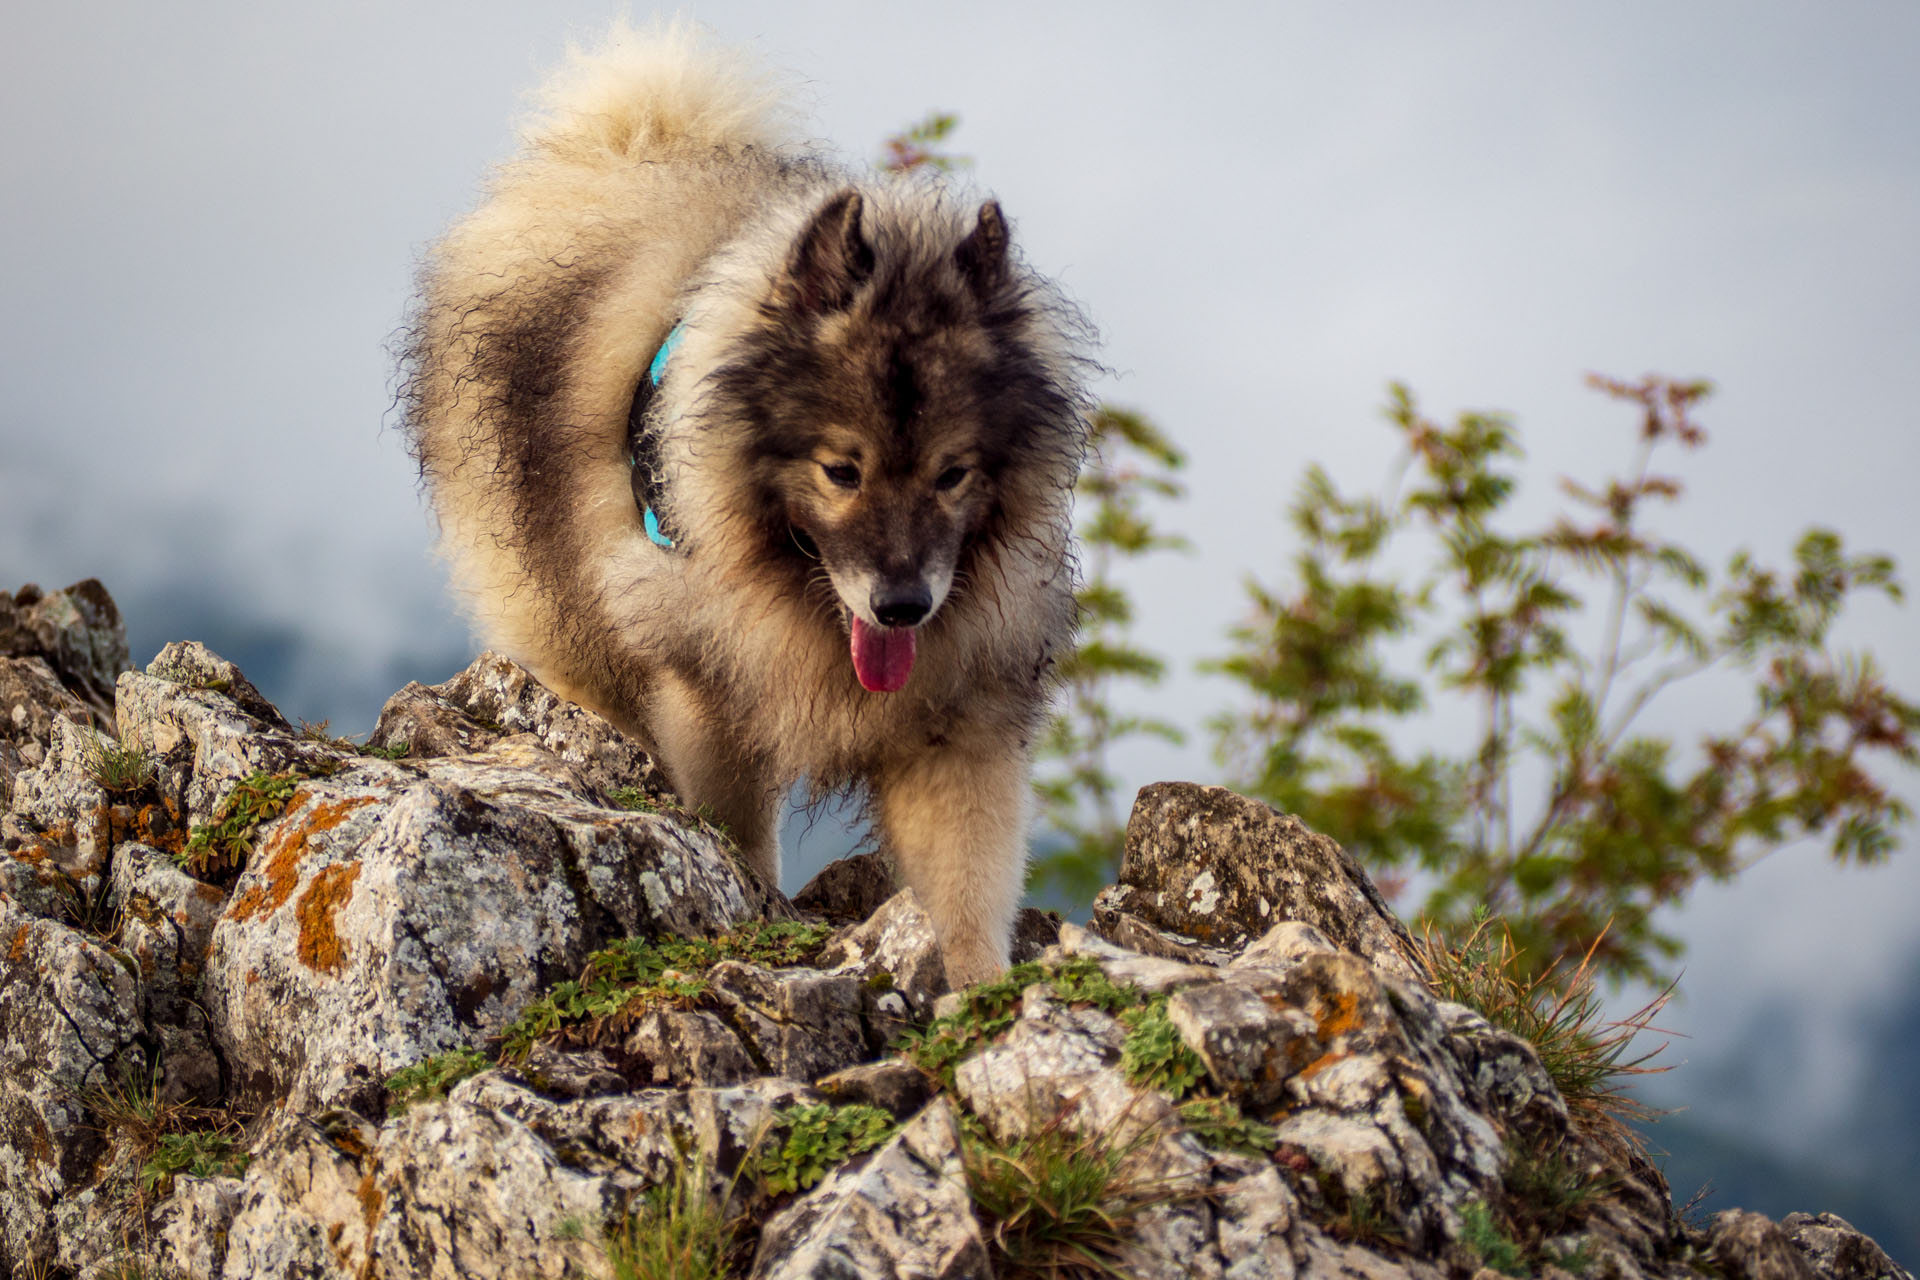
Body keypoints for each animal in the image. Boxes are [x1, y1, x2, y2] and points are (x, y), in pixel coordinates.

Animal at [401, 20, 1098, 990]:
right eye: (841, 470)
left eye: (954, 474)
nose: (902, 605)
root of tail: (622, 146)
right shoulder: (710, 686)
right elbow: (736, 829)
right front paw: (754, 913)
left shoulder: (954, 724)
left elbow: (968, 883)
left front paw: (981, 993)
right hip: (560, 609)